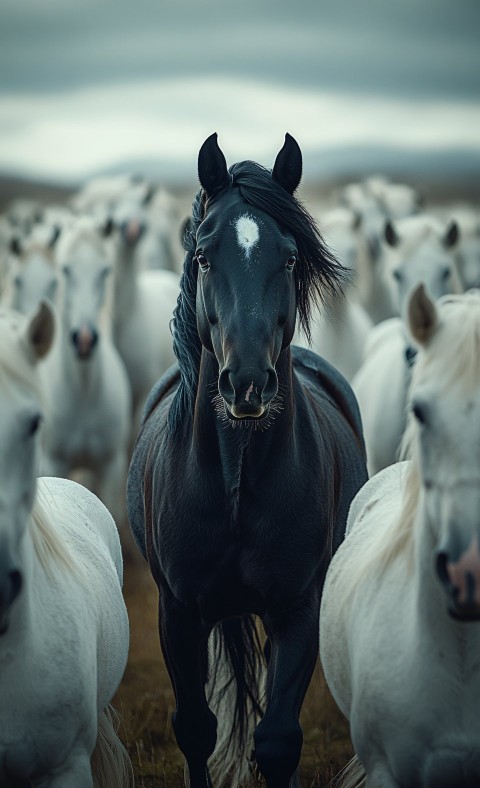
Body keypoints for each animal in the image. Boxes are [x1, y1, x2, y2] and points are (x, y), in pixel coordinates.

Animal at [39, 215, 131, 528]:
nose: (84, 339)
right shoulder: (54, 463)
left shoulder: (110, 467)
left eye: (105, 271)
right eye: (65, 269)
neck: (84, 391)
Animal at [127, 132, 368, 784]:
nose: (248, 384)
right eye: (205, 257)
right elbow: (195, 727)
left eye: (287, 258)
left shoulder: (297, 608)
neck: (235, 475)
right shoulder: (178, 612)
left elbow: (278, 737)